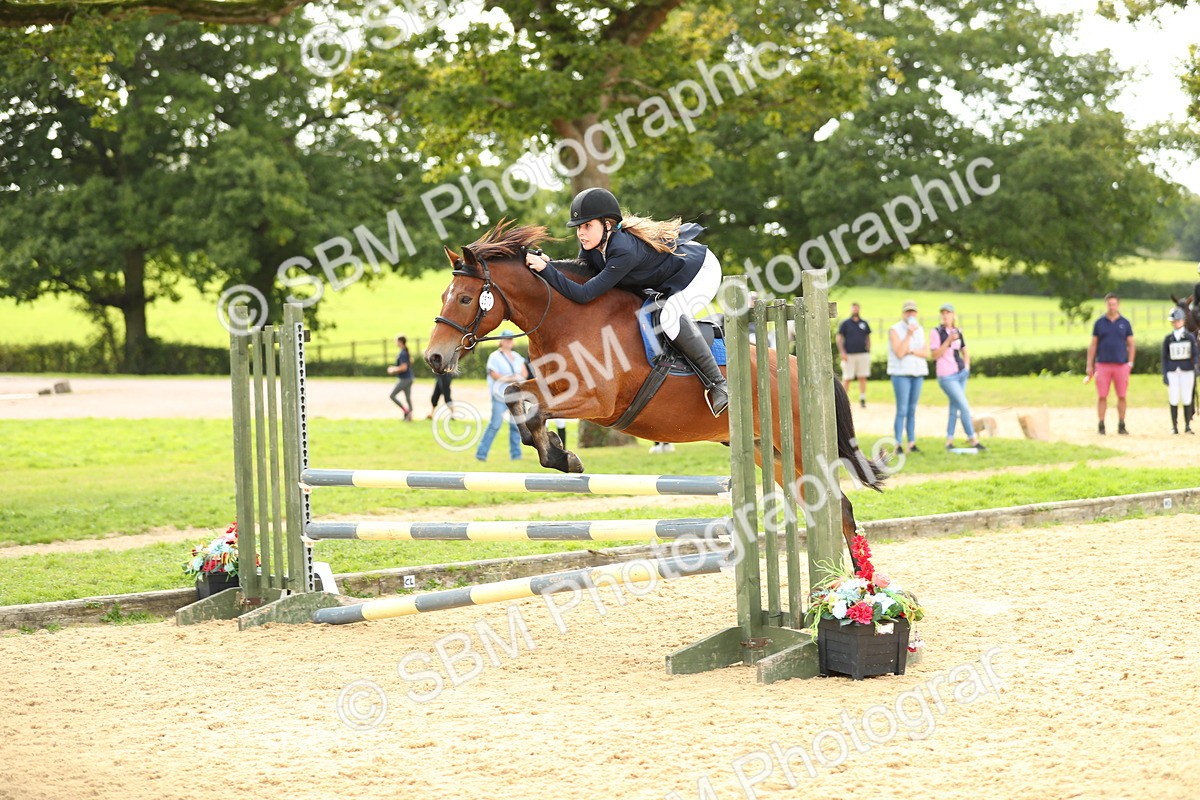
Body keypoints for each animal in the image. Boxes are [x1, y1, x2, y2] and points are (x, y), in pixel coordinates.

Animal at [424, 221, 888, 555]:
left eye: (465, 299)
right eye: (444, 294)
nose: (434, 358)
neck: (566, 316)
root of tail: (806, 369)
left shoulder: (595, 400)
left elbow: (531, 401)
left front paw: (559, 454)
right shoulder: (552, 385)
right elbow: (515, 394)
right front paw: (558, 453)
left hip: (797, 448)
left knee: (838, 507)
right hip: (766, 450)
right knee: (827, 506)